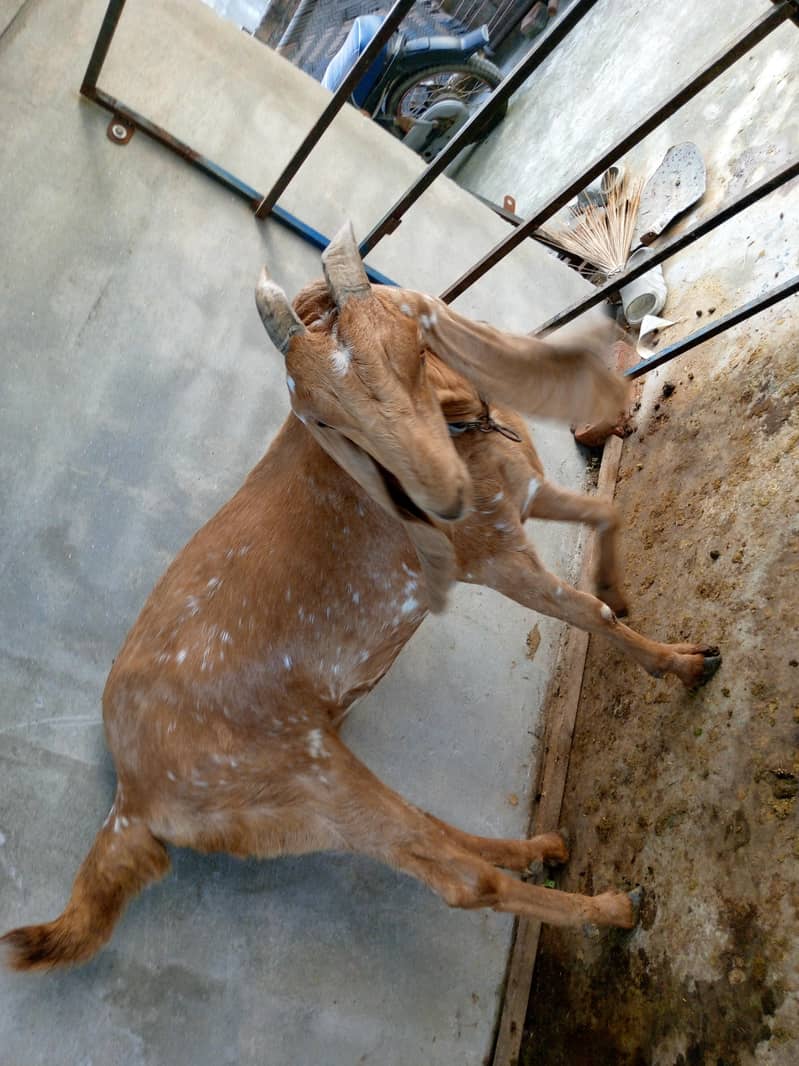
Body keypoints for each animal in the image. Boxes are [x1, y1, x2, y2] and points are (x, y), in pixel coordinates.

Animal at [2, 223, 720, 971]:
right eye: (321, 418)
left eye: (408, 344)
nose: (442, 498)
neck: (469, 432)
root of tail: (131, 798)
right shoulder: (496, 559)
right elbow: (587, 612)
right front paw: (685, 665)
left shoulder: (527, 497)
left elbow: (606, 518)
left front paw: (623, 590)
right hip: (310, 777)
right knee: (460, 880)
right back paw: (609, 906)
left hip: (304, 797)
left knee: (431, 829)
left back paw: (545, 846)